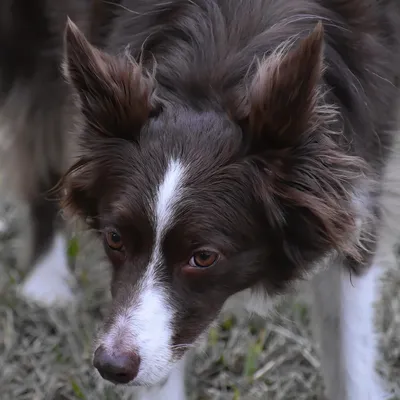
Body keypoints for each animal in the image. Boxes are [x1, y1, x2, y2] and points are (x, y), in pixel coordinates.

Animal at [2, 0, 400, 400]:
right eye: (114, 239)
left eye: (204, 257)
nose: (111, 366)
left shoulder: (356, 185)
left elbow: (348, 346)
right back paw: (44, 281)